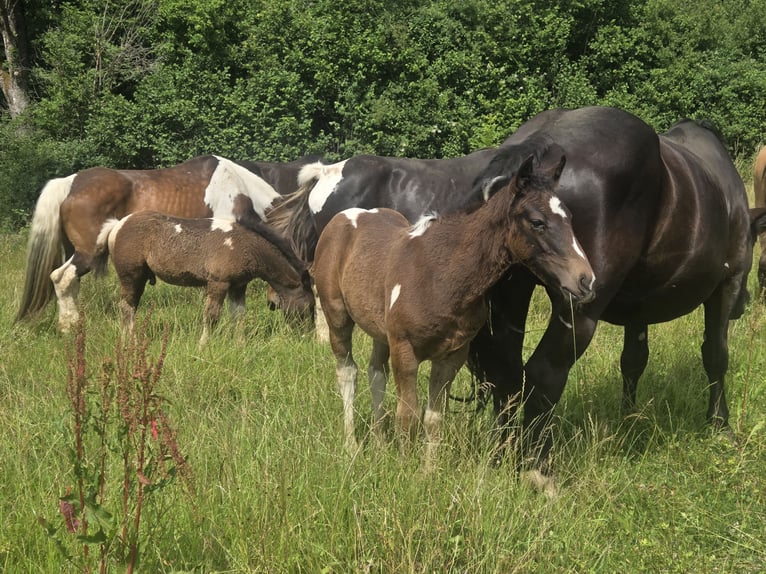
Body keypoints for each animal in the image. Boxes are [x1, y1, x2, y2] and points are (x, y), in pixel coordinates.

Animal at [95, 211, 315, 346]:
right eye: (311, 306)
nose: (308, 334)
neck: (243, 245)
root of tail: (117, 225)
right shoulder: (218, 283)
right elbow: (212, 316)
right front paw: (203, 345)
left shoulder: (238, 286)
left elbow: (239, 315)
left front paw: (240, 345)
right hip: (131, 276)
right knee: (127, 307)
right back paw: (130, 341)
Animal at [312, 153, 595, 465]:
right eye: (537, 222)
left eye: (570, 217)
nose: (586, 280)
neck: (441, 274)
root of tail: (346, 216)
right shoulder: (405, 350)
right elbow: (407, 415)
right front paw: (403, 467)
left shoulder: (452, 356)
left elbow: (434, 417)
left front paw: (428, 469)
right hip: (337, 316)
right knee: (348, 372)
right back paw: (351, 445)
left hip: (380, 331)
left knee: (376, 374)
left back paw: (379, 443)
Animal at [467, 106, 766, 488]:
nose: (745, 305)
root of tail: (539, 146)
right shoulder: (726, 285)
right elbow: (716, 355)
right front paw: (720, 424)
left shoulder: (639, 309)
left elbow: (633, 361)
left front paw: (629, 418)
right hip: (579, 310)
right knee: (543, 374)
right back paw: (539, 466)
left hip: (511, 301)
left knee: (504, 374)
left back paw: (502, 455)